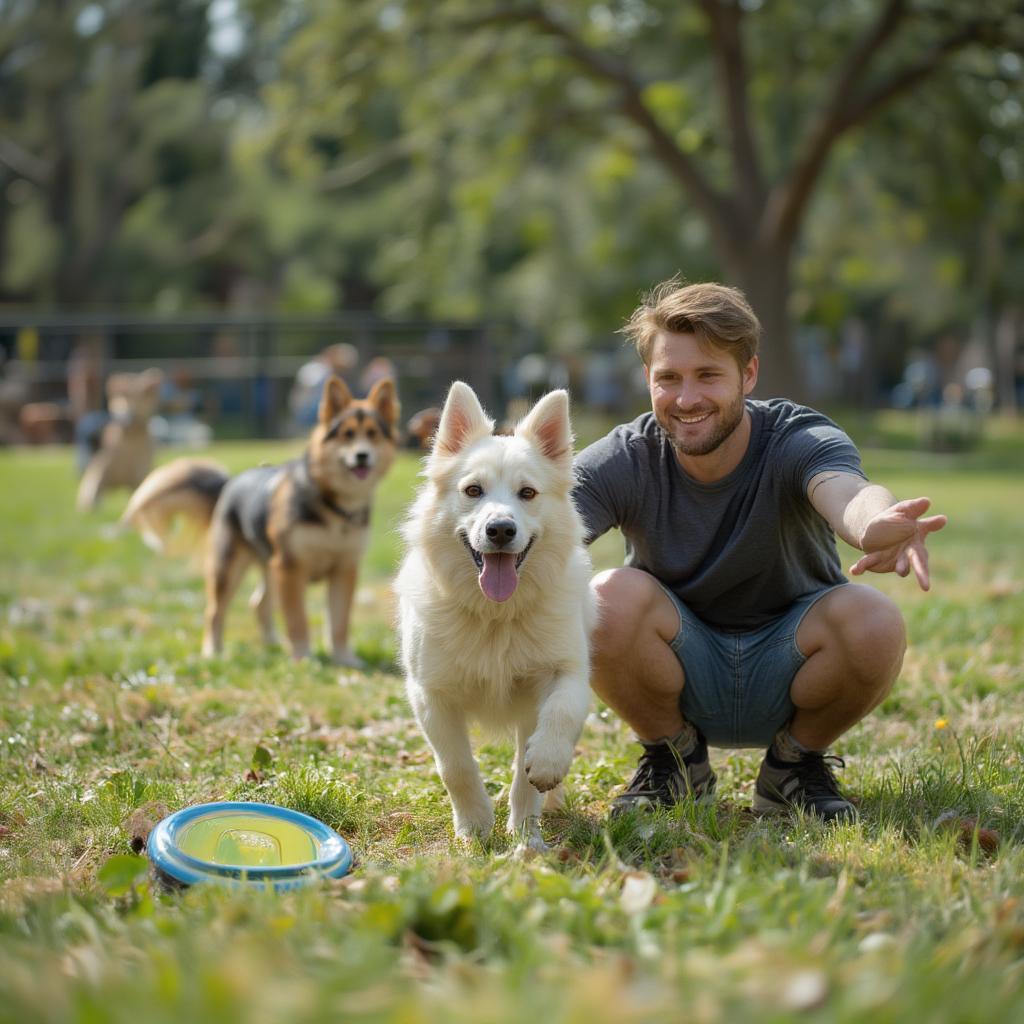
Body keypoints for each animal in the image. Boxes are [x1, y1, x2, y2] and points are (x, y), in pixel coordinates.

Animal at [123, 376, 399, 663]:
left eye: (373, 434)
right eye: (347, 434)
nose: (362, 455)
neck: (333, 506)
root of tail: (230, 482)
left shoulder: (345, 568)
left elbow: (339, 621)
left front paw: (344, 658)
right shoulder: (290, 567)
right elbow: (297, 618)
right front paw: (303, 657)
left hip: (269, 567)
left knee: (258, 603)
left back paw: (272, 644)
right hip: (229, 566)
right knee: (214, 611)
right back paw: (213, 651)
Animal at [395, 378, 598, 847]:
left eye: (527, 493)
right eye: (473, 491)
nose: (501, 530)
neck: (495, 616)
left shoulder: (565, 674)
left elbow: (553, 725)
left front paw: (527, 834)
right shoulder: (431, 696)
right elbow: (455, 767)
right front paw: (475, 829)